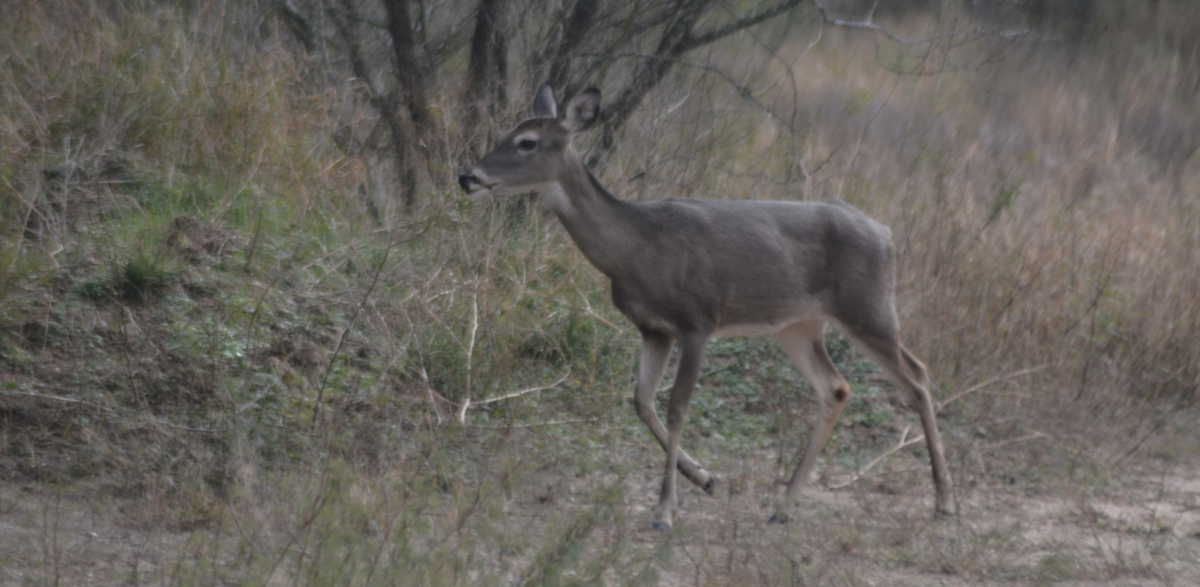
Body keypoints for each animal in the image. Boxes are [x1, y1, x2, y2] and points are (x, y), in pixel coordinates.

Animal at [458, 84, 955, 528]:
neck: (635, 249)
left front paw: (664, 511)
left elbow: (676, 407)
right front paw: (703, 478)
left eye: (527, 142)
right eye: (503, 131)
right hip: (798, 325)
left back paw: (944, 502)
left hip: (867, 308)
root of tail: (886, 234)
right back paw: (783, 506)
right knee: (835, 387)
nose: (468, 176)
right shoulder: (653, 328)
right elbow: (641, 401)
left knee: (917, 375)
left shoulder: (697, 320)